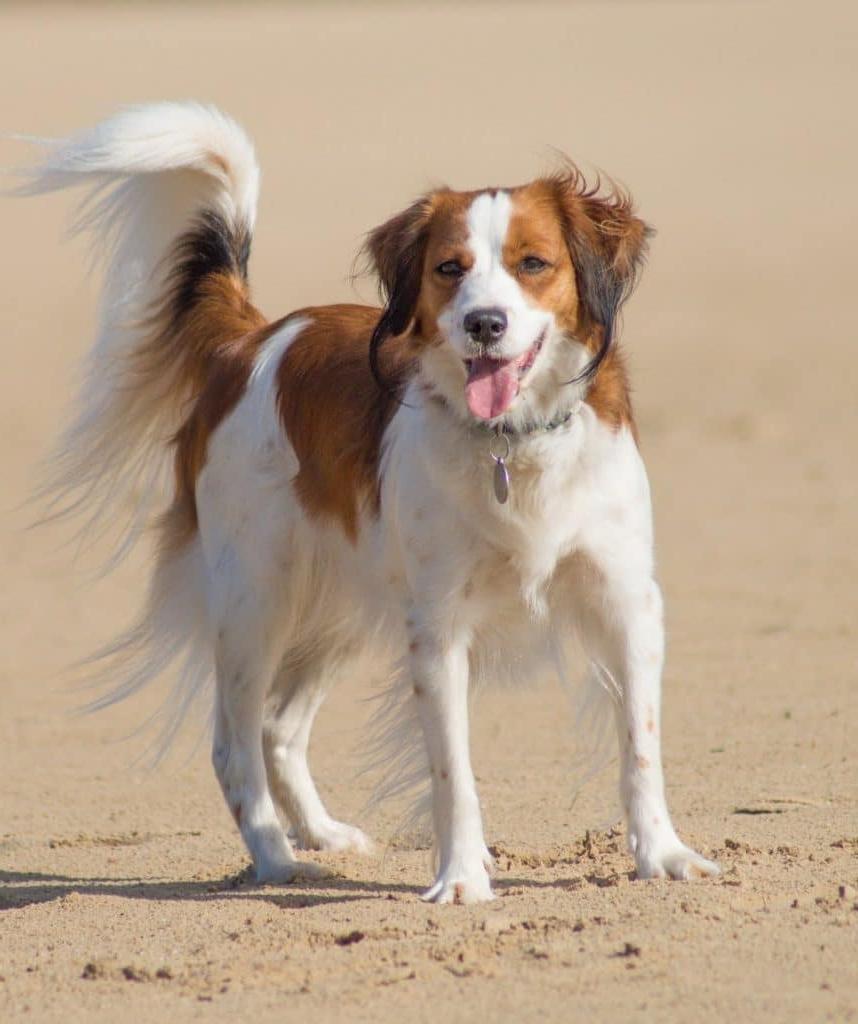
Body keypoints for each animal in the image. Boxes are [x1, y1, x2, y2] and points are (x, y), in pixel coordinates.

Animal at [18, 103, 720, 905]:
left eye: (533, 264)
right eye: (450, 270)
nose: (484, 324)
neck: (512, 443)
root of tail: (250, 340)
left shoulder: (625, 602)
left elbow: (641, 746)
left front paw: (663, 855)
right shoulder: (437, 627)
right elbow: (453, 770)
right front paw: (461, 876)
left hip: (339, 606)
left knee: (279, 728)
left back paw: (322, 833)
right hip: (256, 599)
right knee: (233, 741)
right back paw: (278, 859)